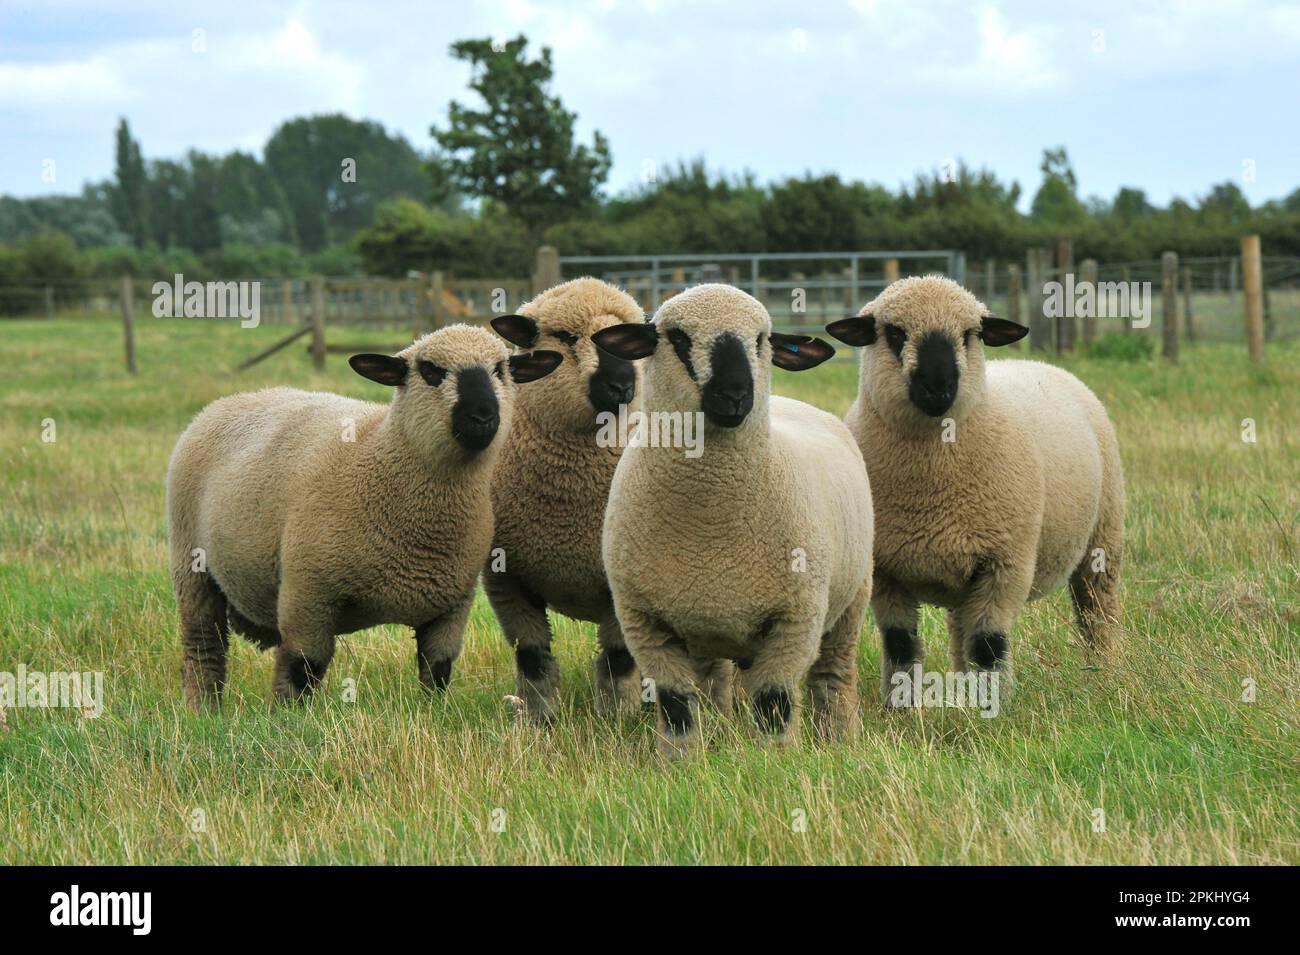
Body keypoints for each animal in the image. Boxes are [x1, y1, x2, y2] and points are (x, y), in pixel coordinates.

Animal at [165, 324, 561, 706]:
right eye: (430, 371)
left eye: (501, 370)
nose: (483, 414)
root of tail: (232, 400)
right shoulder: (307, 594)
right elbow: (300, 669)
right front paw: (285, 717)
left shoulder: (453, 605)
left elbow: (437, 670)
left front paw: (433, 712)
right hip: (192, 565)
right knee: (203, 646)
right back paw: (203, 710)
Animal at [483, 276, 650, 722]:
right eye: (565, 337)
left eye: (637, 344)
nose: (622, 385)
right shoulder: (506, 579)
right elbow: (532, 656)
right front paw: (538, 719)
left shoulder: (620, 584)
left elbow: (617, 658)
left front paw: (617, 718)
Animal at [595, 281, 873, 753]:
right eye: (677, 337)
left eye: (762, 340)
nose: (736, 393)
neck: (711, 523)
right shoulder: (646, 622)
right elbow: (677, 706)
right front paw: (681, 761)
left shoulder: (795, 620)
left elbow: (774, 703)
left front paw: (776, 760)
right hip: (706, 622)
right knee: (713, 684)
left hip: (852, 599)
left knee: (833, 676)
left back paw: (841, 739)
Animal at [826, 272, 1123, 706]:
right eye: (894, 333)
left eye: (970, 334)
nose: (938, 386)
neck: (931, 487)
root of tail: (1038, 362)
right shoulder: (885, 570)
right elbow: (900, 644)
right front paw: (901, 709)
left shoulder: (1006, 563)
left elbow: (988, 645)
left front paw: (992, 709)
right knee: (960, 629)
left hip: (1103, 537)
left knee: (1097, 611)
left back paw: (1104, 674)